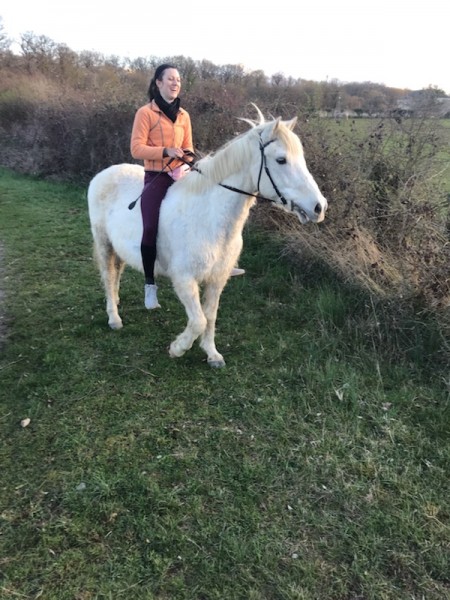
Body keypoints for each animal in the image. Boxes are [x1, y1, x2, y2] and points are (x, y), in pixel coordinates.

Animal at [87, 107, 328, 367]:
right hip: (104, 244)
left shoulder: (217, 279)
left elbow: (210, 316)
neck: (209, 219)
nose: (319, 207)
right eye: (281, 160)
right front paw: (177, 348)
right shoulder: (184, 280)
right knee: (108, 276)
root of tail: (103, 174)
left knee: (116, 272)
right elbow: (199, 320)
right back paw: (114, 317)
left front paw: (212, 354)